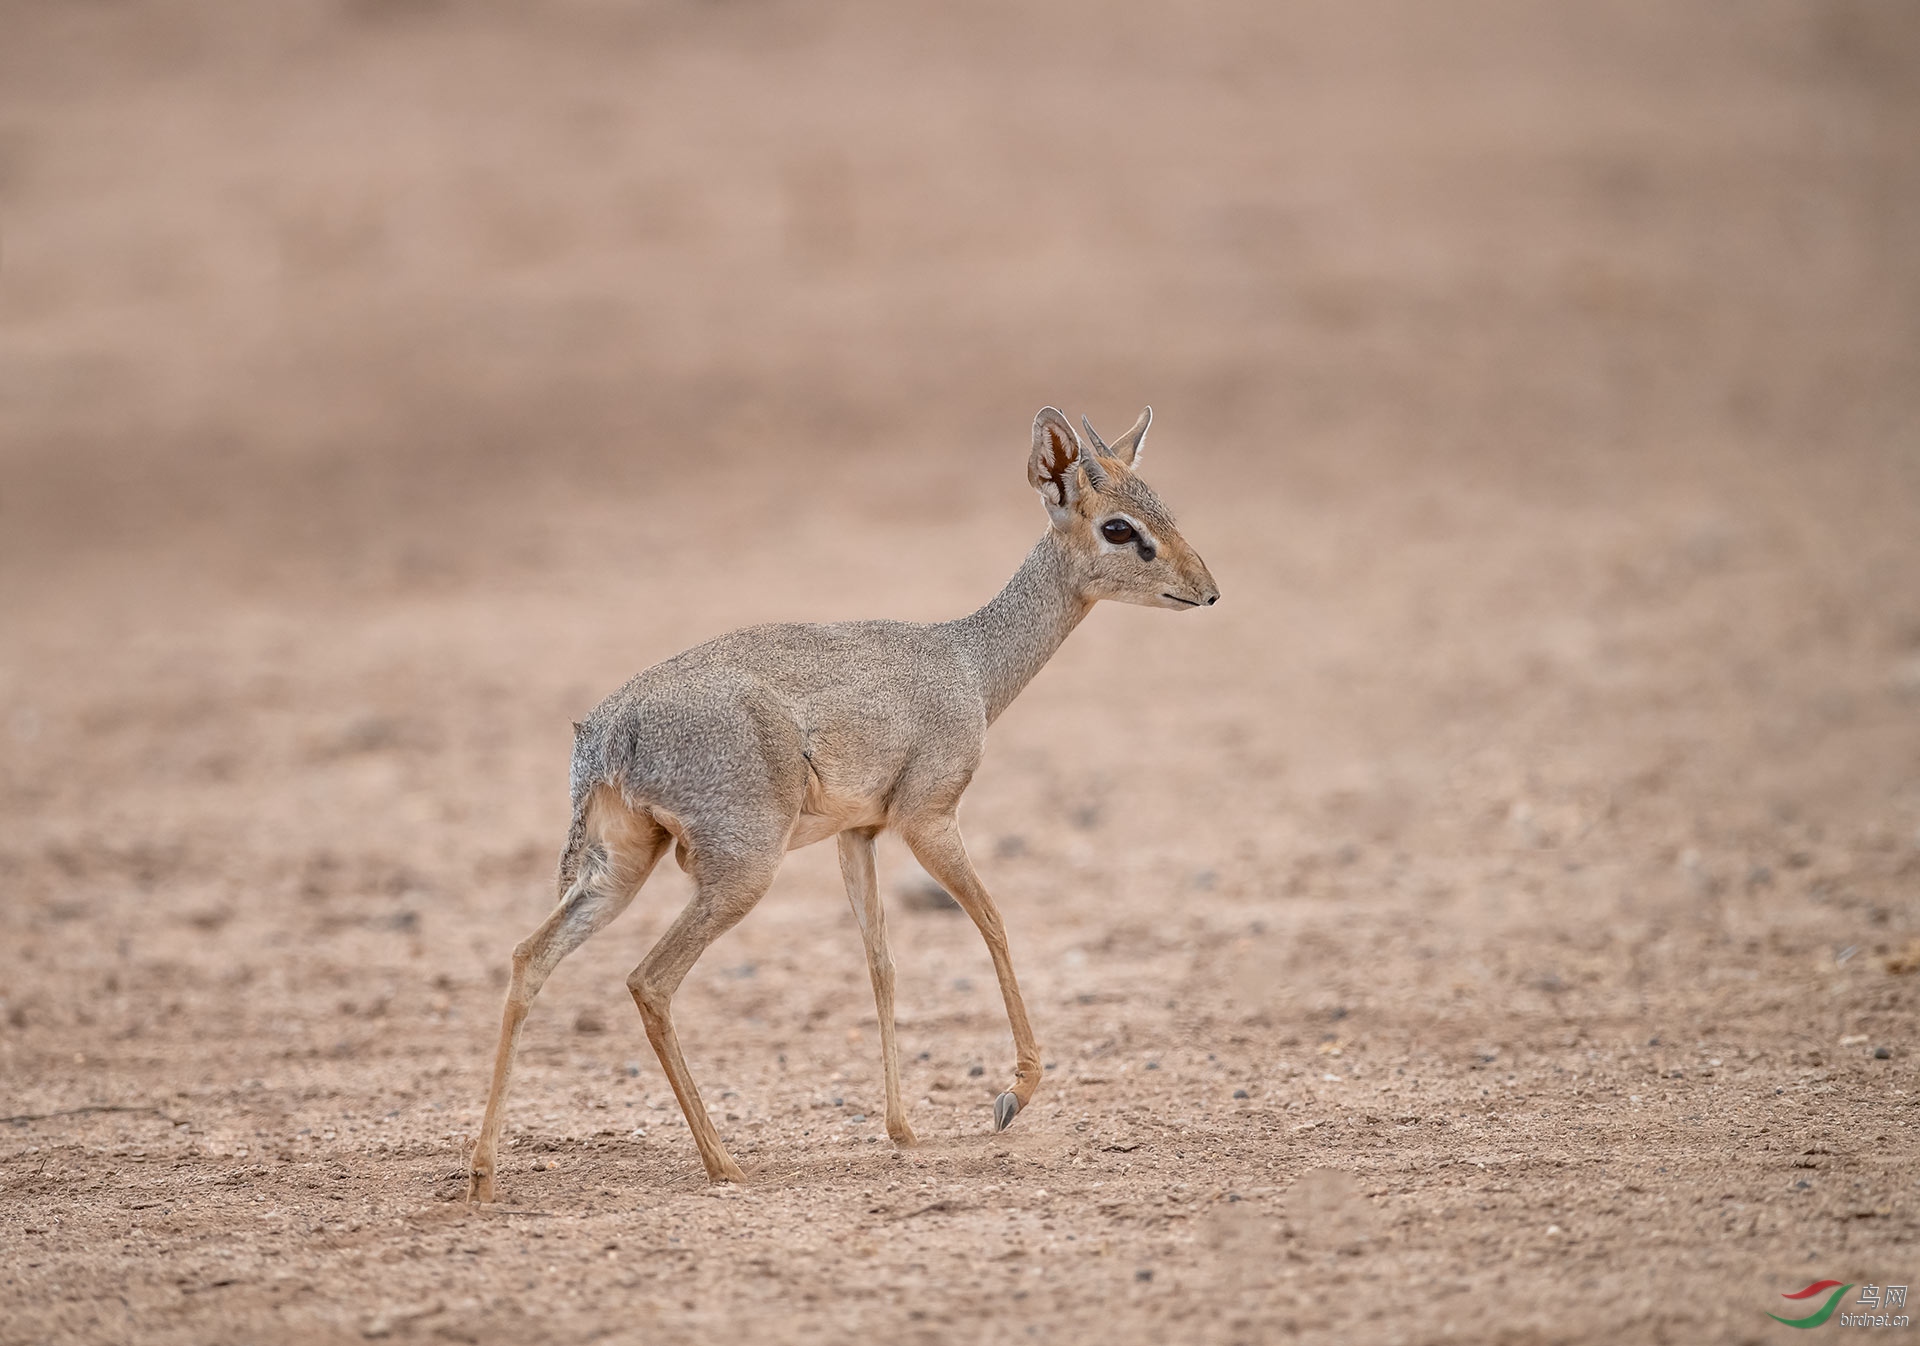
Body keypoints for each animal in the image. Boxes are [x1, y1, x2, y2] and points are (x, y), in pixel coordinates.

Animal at [466, 401, 1213, 1198]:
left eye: (1161, 506)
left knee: (529, 956)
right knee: (649, 981)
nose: (1207, 589)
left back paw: (482, 1175)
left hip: (621, 869)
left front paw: (903, 1128)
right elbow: (994, 923)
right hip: (738, 874)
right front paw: (1012, 1094)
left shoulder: (860, 836)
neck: (971, 664)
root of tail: (608, 734)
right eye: (1119, 528)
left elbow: (880, 961)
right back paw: (724, 1162)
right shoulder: (930, 819)